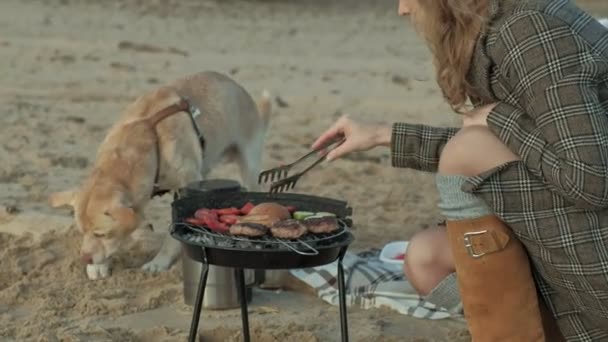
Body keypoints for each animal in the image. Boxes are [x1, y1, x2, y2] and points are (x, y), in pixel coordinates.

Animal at [48, 71, 272, 280]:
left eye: (101, 233)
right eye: (81, 232)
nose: (84, 258)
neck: (145, 135)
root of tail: (241, 90)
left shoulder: (186, 186)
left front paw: (160, 262)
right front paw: (97, 266)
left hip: (249, 165)